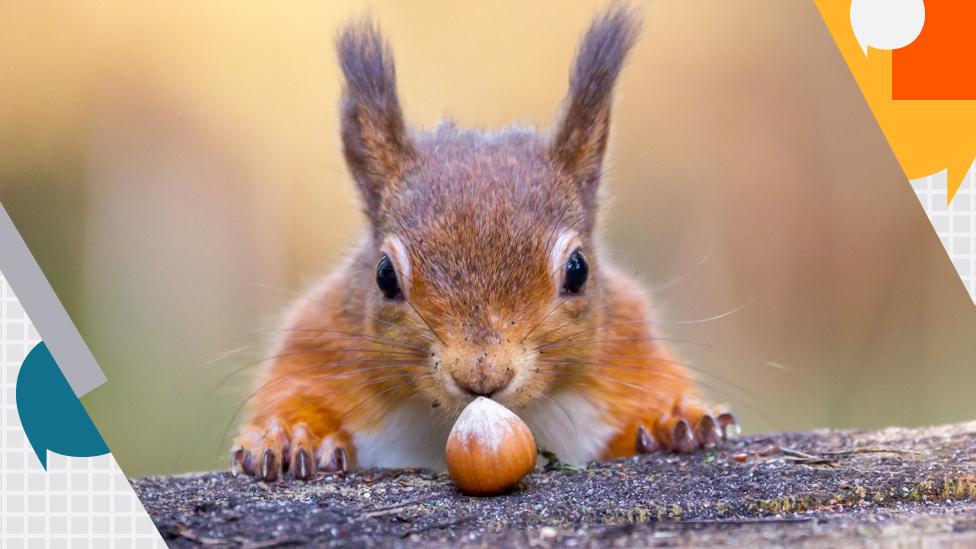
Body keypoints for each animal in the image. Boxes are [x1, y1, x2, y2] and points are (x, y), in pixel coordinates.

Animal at [233, 7, 732, 480]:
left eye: (578, 270)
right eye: (384, 276)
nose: (483, 373)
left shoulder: (627, 342)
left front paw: (674, 419)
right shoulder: (320, 343)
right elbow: (295, 389)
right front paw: (291, 435)